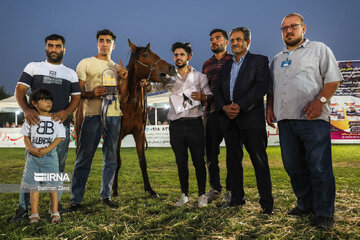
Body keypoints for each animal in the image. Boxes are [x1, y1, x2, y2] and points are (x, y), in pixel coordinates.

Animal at [74, 39, 175, 197]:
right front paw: (114, 189)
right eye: (145, 55)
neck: (129, 103)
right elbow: (117, 162)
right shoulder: (118, 135)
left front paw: (150, 189)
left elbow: (142, 161)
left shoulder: (139, 134)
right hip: (80, 132)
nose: (171, 67)